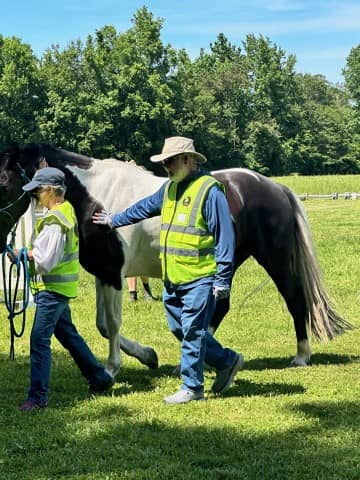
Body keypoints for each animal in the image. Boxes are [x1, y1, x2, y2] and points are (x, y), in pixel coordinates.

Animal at [0, 142, 352, 376]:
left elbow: (112, 324)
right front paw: (148, 356)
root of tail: (276, 187)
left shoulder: (113, 273)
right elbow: (102, 324)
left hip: (273, 258)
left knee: (295, 298)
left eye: (4, 179)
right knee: (220, 307)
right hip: (228, 263)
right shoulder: (104, 274)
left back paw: (301, 356)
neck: (95, 199)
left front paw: (113, 368)